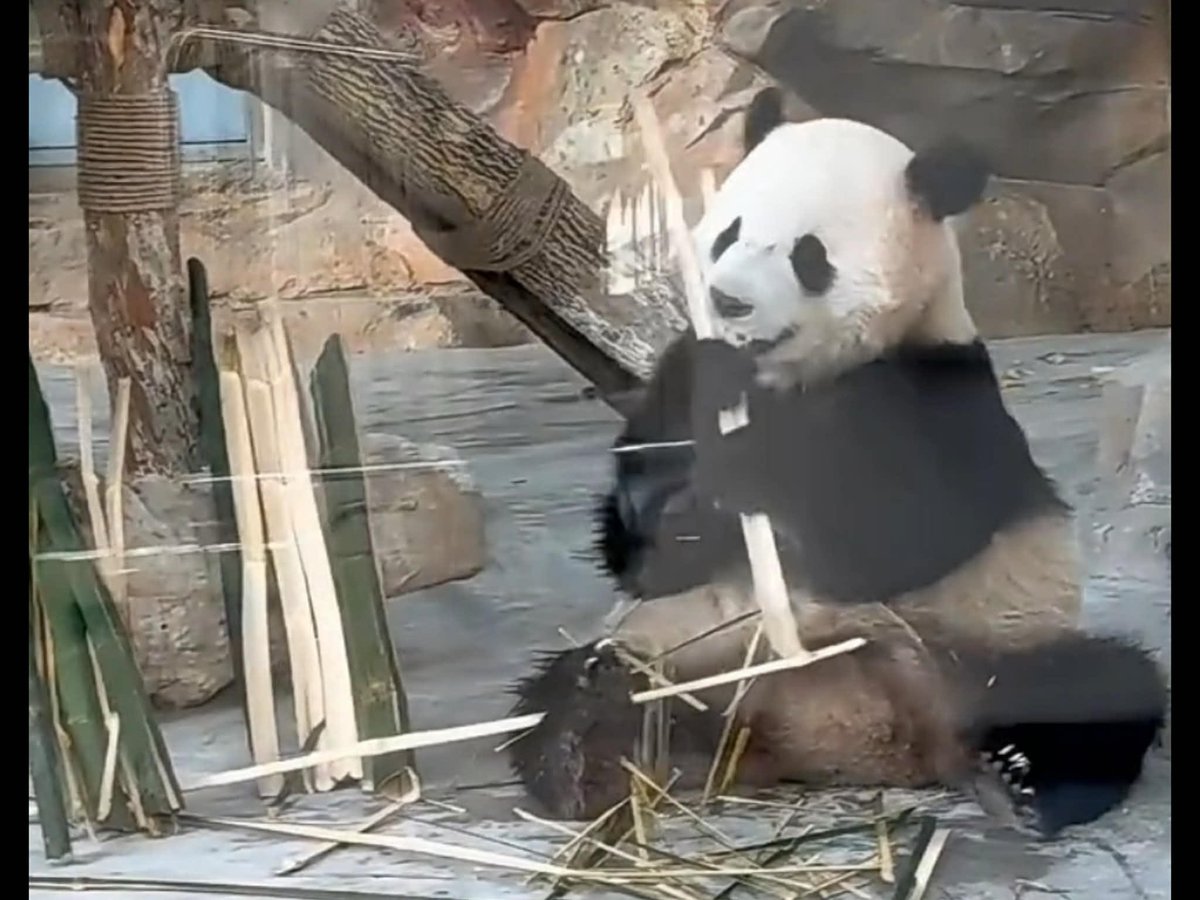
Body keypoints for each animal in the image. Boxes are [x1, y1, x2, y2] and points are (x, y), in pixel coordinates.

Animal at [508, 88, 1167, 839]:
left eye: (808, 254)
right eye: (729, 232)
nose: (728, 299)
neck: (788, 379)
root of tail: (847, 737)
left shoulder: (941, 390)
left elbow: (899, 535)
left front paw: (753, 476)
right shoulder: (680, 380)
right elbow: (638, 550)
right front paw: (692, 501)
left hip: (985, 646)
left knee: (1100, 686)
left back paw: (1019, 779)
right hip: (689, 655)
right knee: (559, 696)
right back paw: (590, 749)